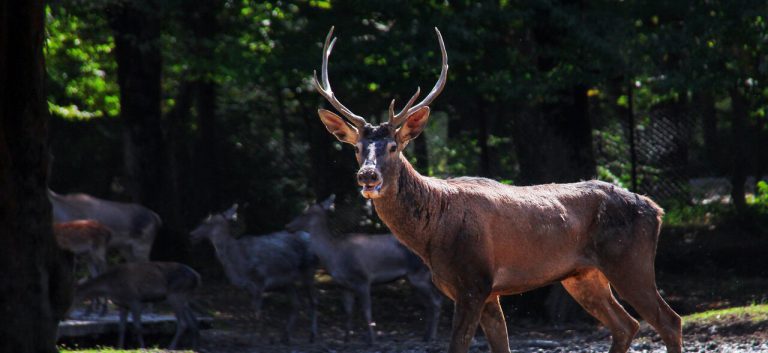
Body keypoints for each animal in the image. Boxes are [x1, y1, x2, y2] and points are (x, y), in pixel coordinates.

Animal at [73, 260, 201, 348]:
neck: (110, 286)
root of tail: (197, 277)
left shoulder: (135, 300)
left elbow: (137, 327)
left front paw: (143, 347)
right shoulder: (122, 304)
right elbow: (121, 328)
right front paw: (119, 347)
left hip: (175, 295)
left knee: (183, 323)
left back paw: (170, 347)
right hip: (184, 298)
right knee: (193, 322)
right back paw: (195, 347)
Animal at [190, 202, 318, 342]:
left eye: (208, 222)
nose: (192, 234)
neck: (239, 265)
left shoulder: (260, 279)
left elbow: (257, 311)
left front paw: (258, 337)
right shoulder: (249, 286)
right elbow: (253, 309)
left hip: (309, 269)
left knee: (313, 301)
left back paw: (312, 335)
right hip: (288, 281)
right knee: (296, 304)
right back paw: (286, 335)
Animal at [286, 194, 444, 342]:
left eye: (305, 213)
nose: (288, 226)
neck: (334, 256)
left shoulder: (363, 279)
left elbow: (367, 312)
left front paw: (372, 340)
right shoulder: (344, 285)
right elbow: (348, 311)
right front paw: (346, 338)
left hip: (419, 275)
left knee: (436, 302)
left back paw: (432, 337)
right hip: (415, 279)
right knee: (429, 304)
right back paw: (425, 335)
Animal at [312, 27, 684, 352]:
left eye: (393, 147)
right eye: (357, 148)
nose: (367, 176)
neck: (432, 233)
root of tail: (657, 209)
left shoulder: (475, 282)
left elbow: (458, 346)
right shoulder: (485, 291)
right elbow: (500, 346)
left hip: (629, 260)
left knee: (669, 320)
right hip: (582, 274)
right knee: (626, 324)